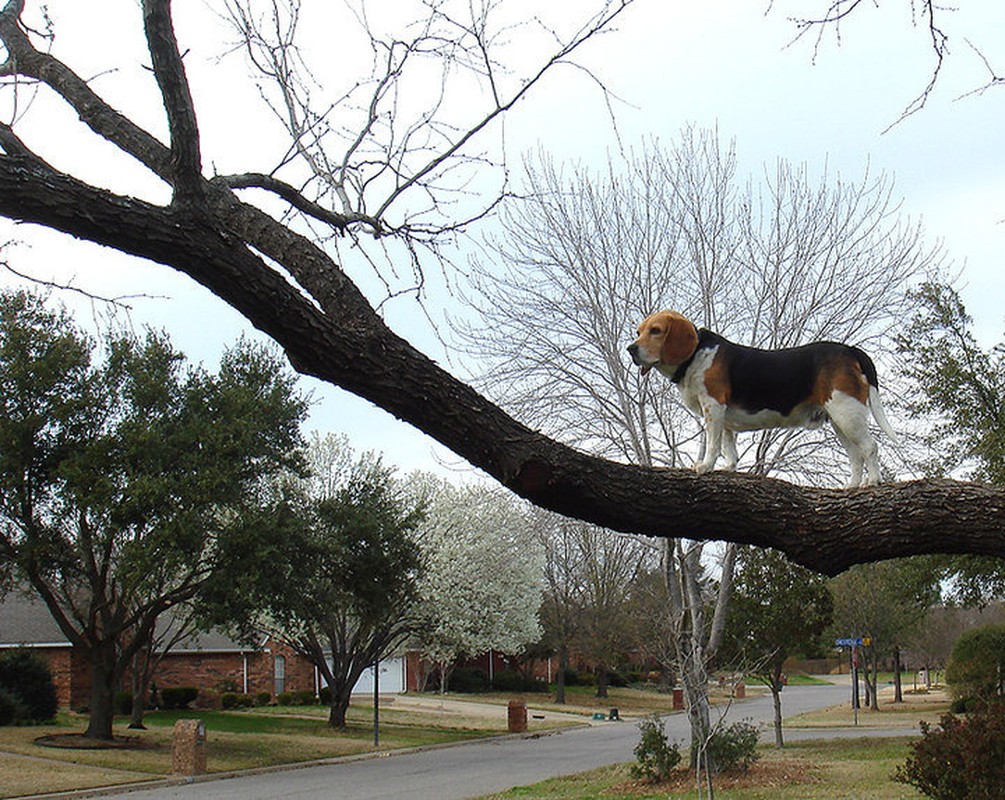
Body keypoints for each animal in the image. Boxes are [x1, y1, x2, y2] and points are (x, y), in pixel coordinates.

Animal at [623, 311, 900, 488]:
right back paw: (851, 486)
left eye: (656, 331)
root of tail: (851, 350)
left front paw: (706, 466)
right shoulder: (723, 417)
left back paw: (873, 482)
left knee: (870, 447)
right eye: (639, 332)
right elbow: (729, 446)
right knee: (855, 456)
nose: (631, 349)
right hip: (839, 420)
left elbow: (713, 444)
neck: (696, 354)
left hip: (847, 413)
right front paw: (729, 468)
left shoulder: (713, 407)